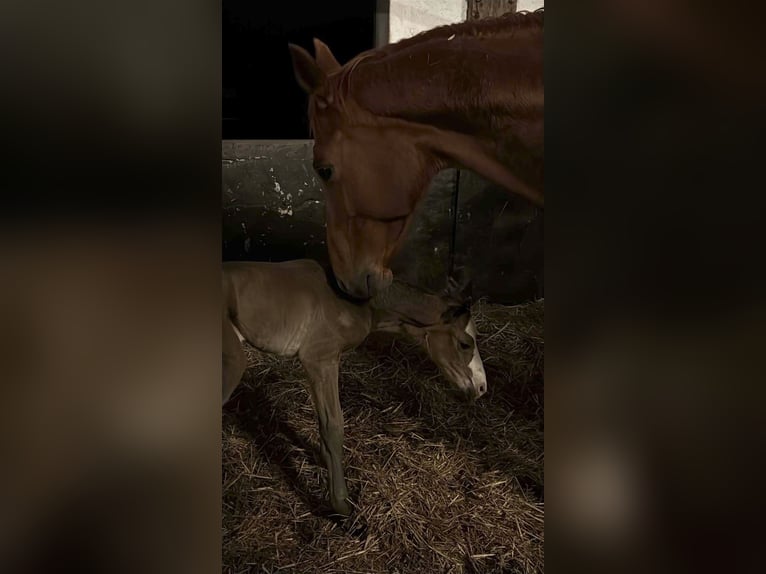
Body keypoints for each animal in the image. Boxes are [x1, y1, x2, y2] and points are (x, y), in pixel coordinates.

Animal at [222, 259, 487, 515]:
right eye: (465, 344)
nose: (482, 387)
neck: (358, 303)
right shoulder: (320, 358)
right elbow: (333, 425)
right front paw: (341, 503)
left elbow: (322, 420)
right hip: (232, 364)